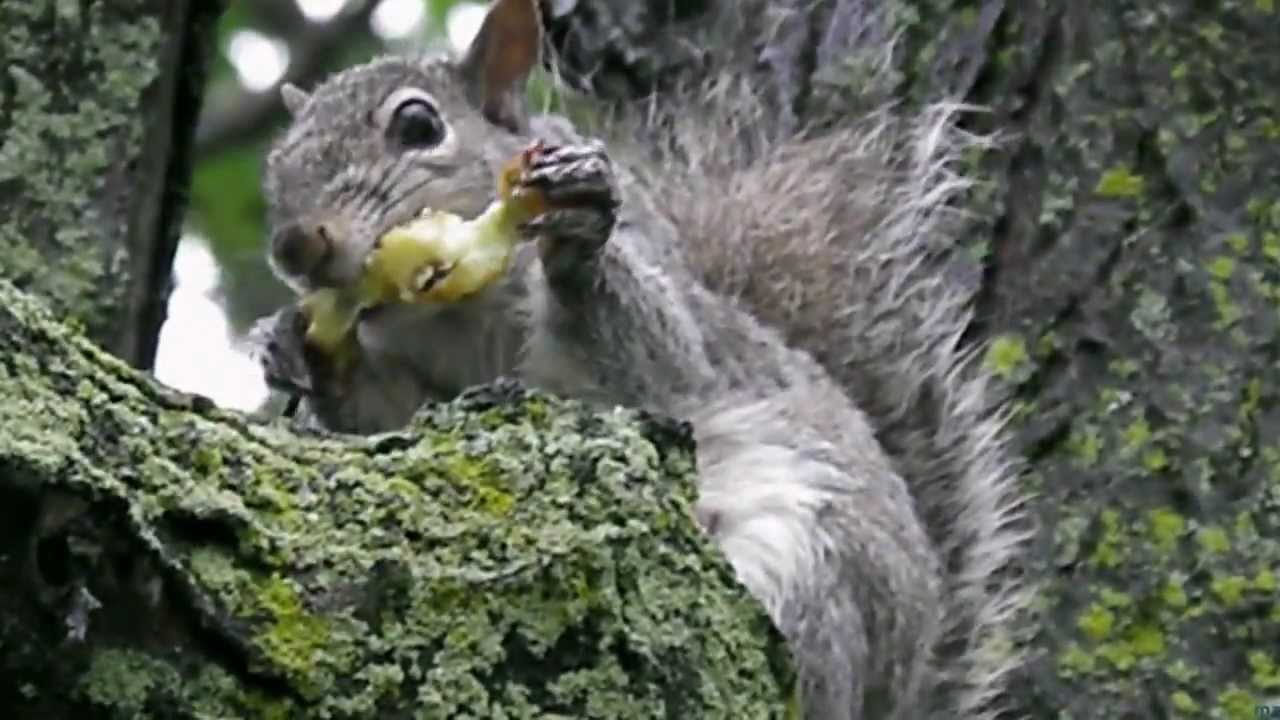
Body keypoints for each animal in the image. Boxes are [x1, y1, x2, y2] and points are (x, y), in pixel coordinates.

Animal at [248, 0, 1034, 717]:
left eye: (418, 126)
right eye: (276, 166)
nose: (294, 245)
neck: (451, 319)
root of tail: (891, 693)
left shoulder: (685, 338)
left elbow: (651, 355)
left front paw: (581, 231)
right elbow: (384, 418)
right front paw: (296, 346)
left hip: (815, 568)